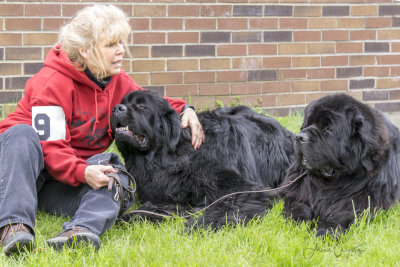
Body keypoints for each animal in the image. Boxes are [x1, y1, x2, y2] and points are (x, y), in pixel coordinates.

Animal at [109, 90, 294, 228]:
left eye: (142, 106)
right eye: (122, 102)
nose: (116, 108)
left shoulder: (244, 189)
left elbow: (225, 207)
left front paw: (198, 227)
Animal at [282, 93, 400, 237]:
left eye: (328, 128)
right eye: (306, 125)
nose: (299, 137)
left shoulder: (366, 199)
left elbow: (343, 212)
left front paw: (325, 229)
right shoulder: (296, 191)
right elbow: (298, 205)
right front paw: (298, 222)